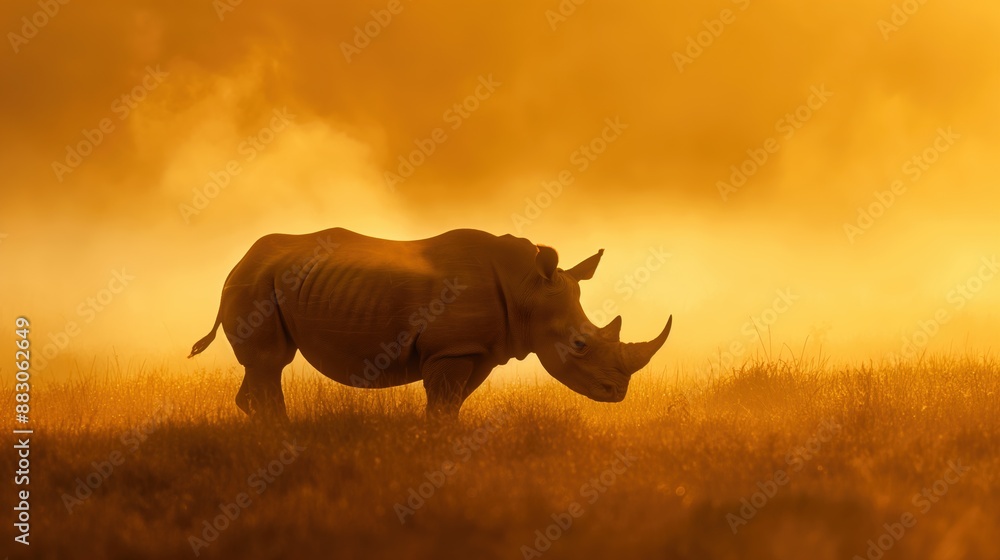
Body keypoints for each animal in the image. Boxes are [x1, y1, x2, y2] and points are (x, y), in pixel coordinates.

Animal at [188, 228, 672, 421]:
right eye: (580, 345)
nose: (617, 393)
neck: (527, 289)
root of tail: (240, 260)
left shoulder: (476, 350)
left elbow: (452, 403)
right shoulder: (450, 349)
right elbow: (441, 404)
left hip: (269, 279)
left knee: (264, 368)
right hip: (254, 283)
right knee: (269, 363)